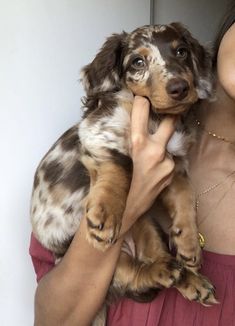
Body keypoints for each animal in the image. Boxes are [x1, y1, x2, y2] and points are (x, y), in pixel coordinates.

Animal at [30, 22, 217, 324]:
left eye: (181, 51)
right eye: (137, 62)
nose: (179, 87)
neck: (155, 117)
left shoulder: (175, 165)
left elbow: (185, 196)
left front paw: (189, 242)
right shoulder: (100, 129)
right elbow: (121, 165)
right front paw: (106, 211)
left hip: (147, 225)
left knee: (156, 262)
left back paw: (189, 279)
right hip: (103, 259)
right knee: (134, 274)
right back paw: (165, 272)